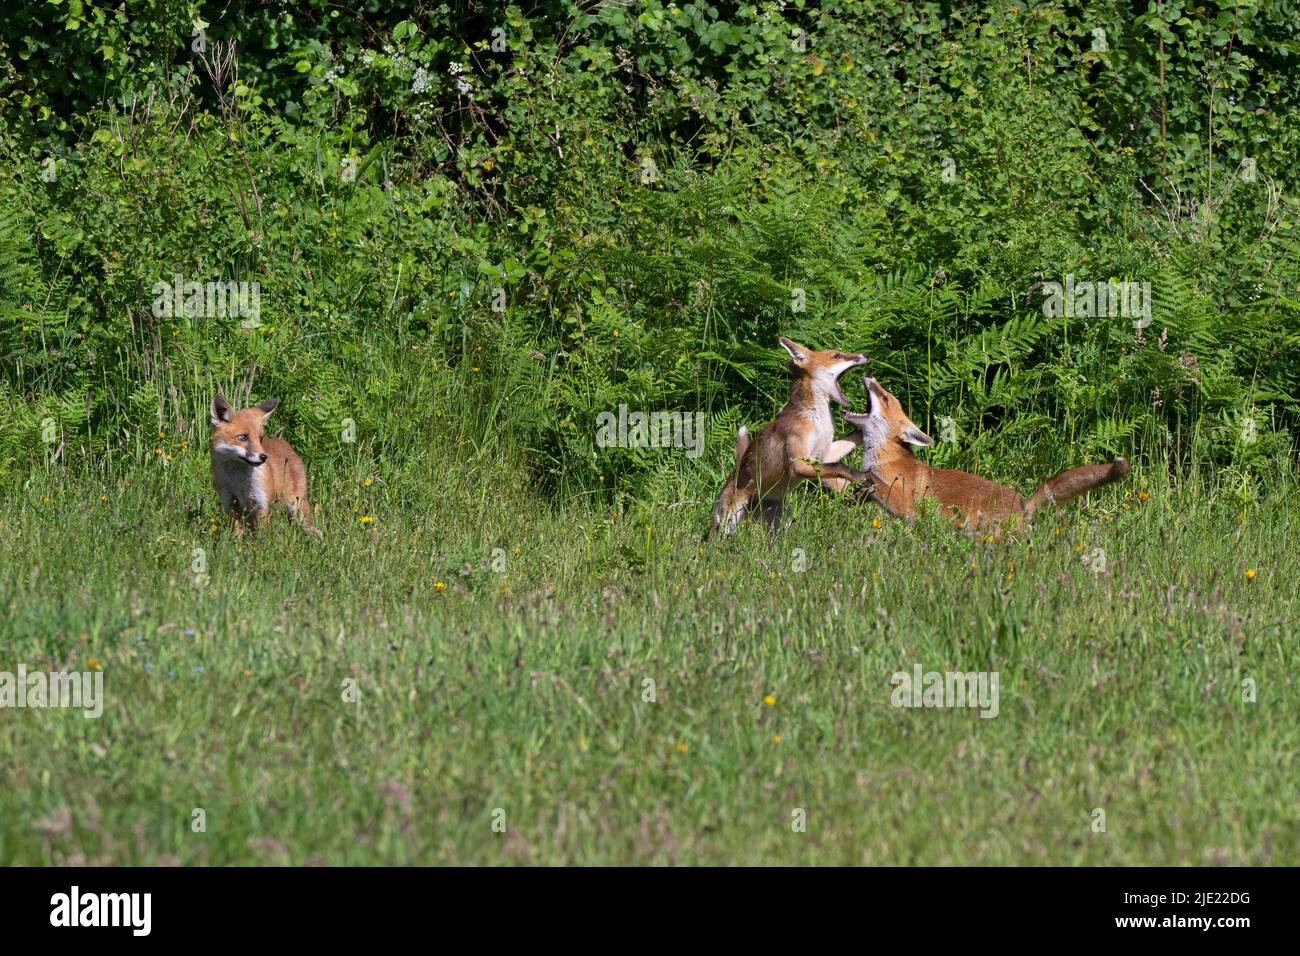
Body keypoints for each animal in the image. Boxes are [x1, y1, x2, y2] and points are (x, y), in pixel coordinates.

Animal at [210, 395, 319, 538]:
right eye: (243, 437)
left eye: (260, 438)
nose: (263, 457)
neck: (239, 483)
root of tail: (287, 444)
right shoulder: (232, 505)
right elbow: (238, 535)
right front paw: (237, 544)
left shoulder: (261, 505)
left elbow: (262, 538)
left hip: (297, 507)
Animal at [707, 338, 868, 538]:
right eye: (837, 355)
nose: (864, 355)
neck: (817, 421)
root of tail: (735, 472)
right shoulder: (798, 463)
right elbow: (839, 466)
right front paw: (858, 476)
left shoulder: (821, 455)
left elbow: (843, 450)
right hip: (728, 521)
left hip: (782, 517)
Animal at [842, 377, 1128, 535]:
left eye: (885, 398)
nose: (869, 376)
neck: (883, 458)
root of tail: (1023, 505)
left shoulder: (905, 504)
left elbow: (871, 480)